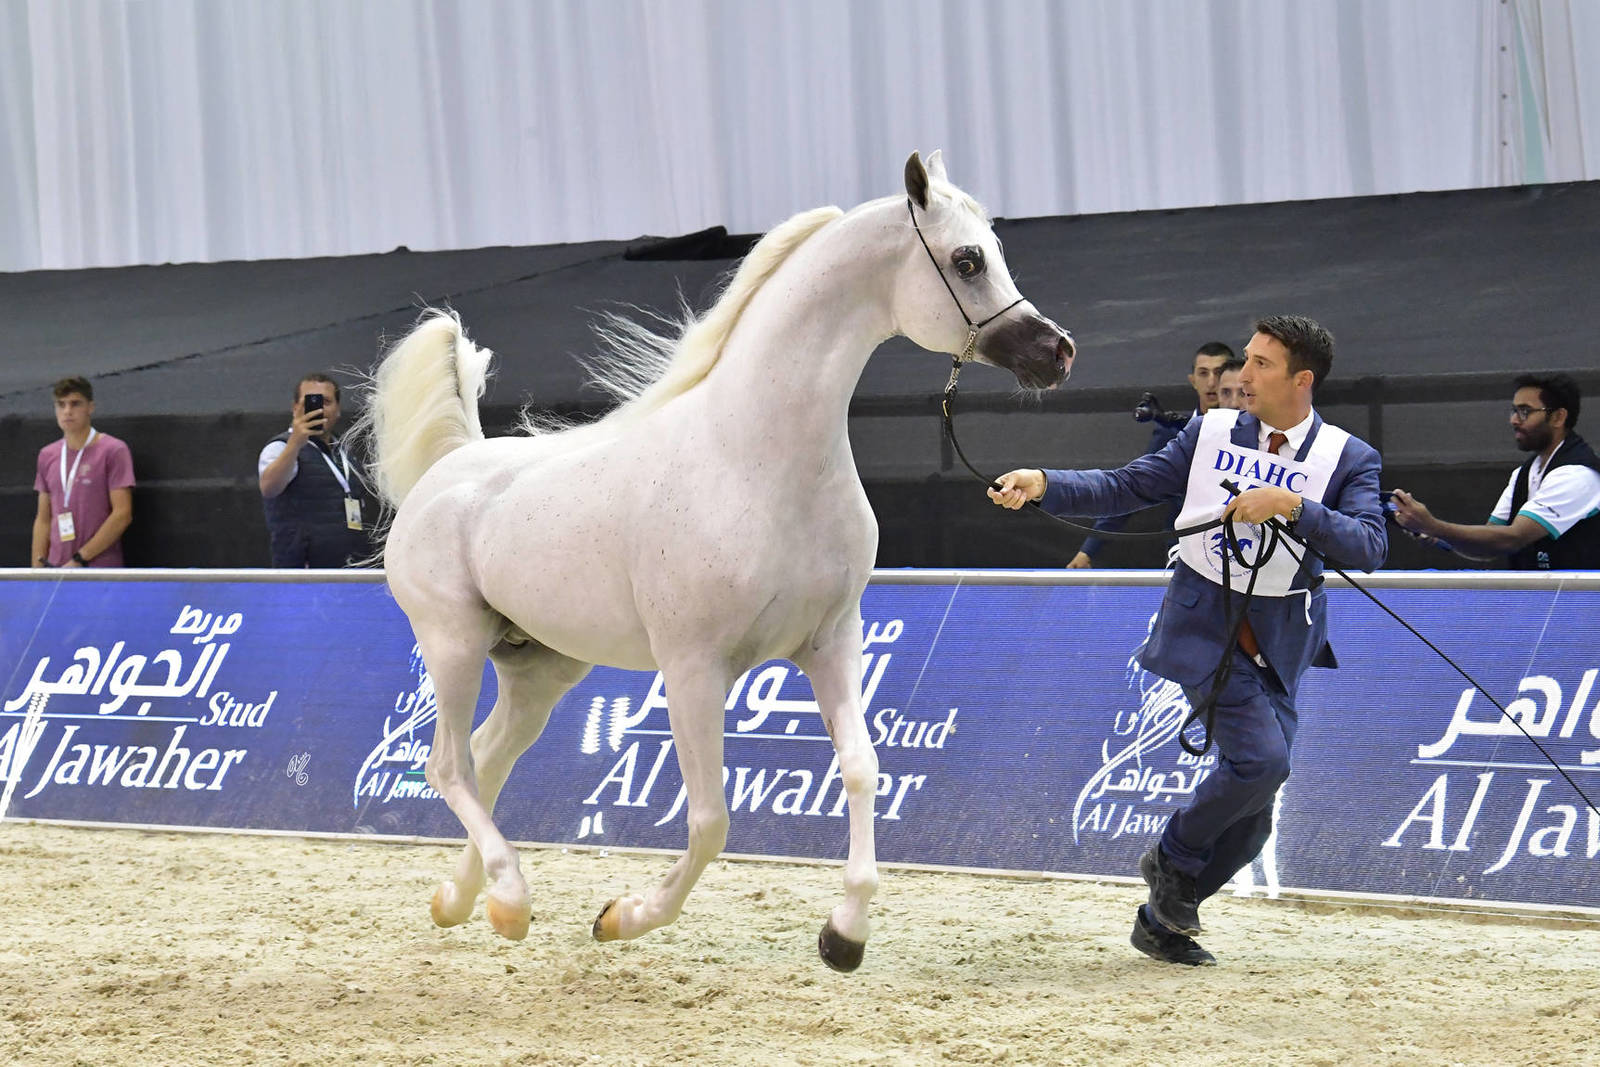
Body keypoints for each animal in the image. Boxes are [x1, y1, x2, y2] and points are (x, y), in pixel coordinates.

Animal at [361, 150, 1075, 972]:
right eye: (967, 260)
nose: (1057, 352)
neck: (757, 460)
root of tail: (451, 468)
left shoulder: (832, 644)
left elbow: (862, 769)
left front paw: (844, 935)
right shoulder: (693, 670)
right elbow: (710, 820)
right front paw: (623, 917)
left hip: (540, 667)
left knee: (487, 756)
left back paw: (464, 900)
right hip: (453, 645)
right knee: (449, 765)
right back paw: (510, 899)